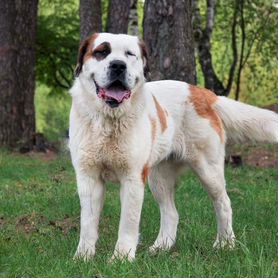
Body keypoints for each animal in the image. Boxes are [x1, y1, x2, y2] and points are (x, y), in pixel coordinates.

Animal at [68, 32, 278, 260]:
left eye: (129, 54)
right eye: (101, 52)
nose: (118, 65)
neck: (108, 121)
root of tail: (203, 93)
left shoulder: (132, 178)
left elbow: (128, 222)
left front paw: (121, 258)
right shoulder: (88, 177)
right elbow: (88, 222)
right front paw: (83, 257)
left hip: (208, 170)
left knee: (223, 203)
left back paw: (225, 243)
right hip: (158, 177)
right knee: (171, 212)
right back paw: (161, 247)